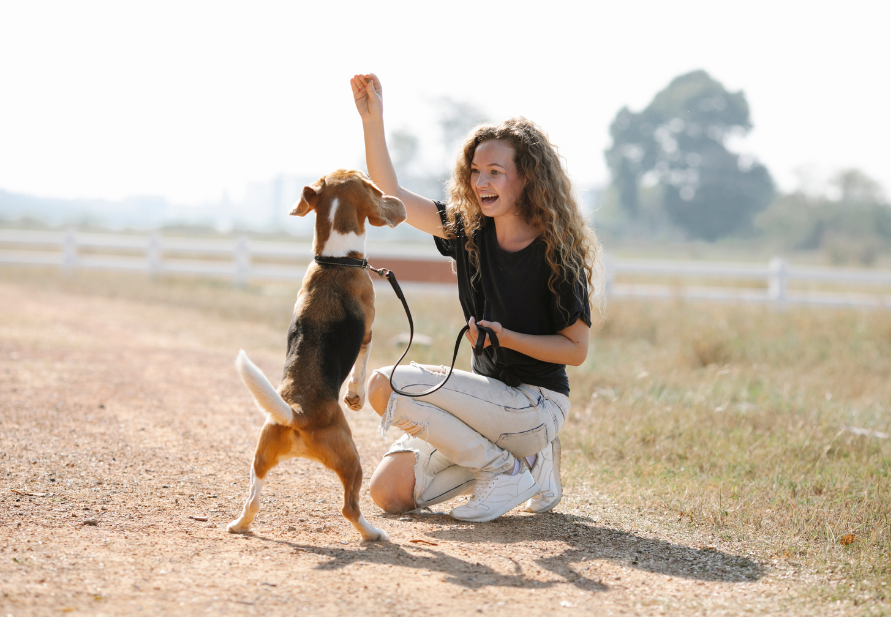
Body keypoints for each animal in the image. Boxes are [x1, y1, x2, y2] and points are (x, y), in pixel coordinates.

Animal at [230, 168, 412, 540]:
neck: (335, 260)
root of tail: (298, 413)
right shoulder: (368, 333)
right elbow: (361, 367)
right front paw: (355, 396)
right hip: (352, 459)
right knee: (349, 508)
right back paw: (373, 533)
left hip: (259, 457)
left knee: (252, 500)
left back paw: (239, 525)